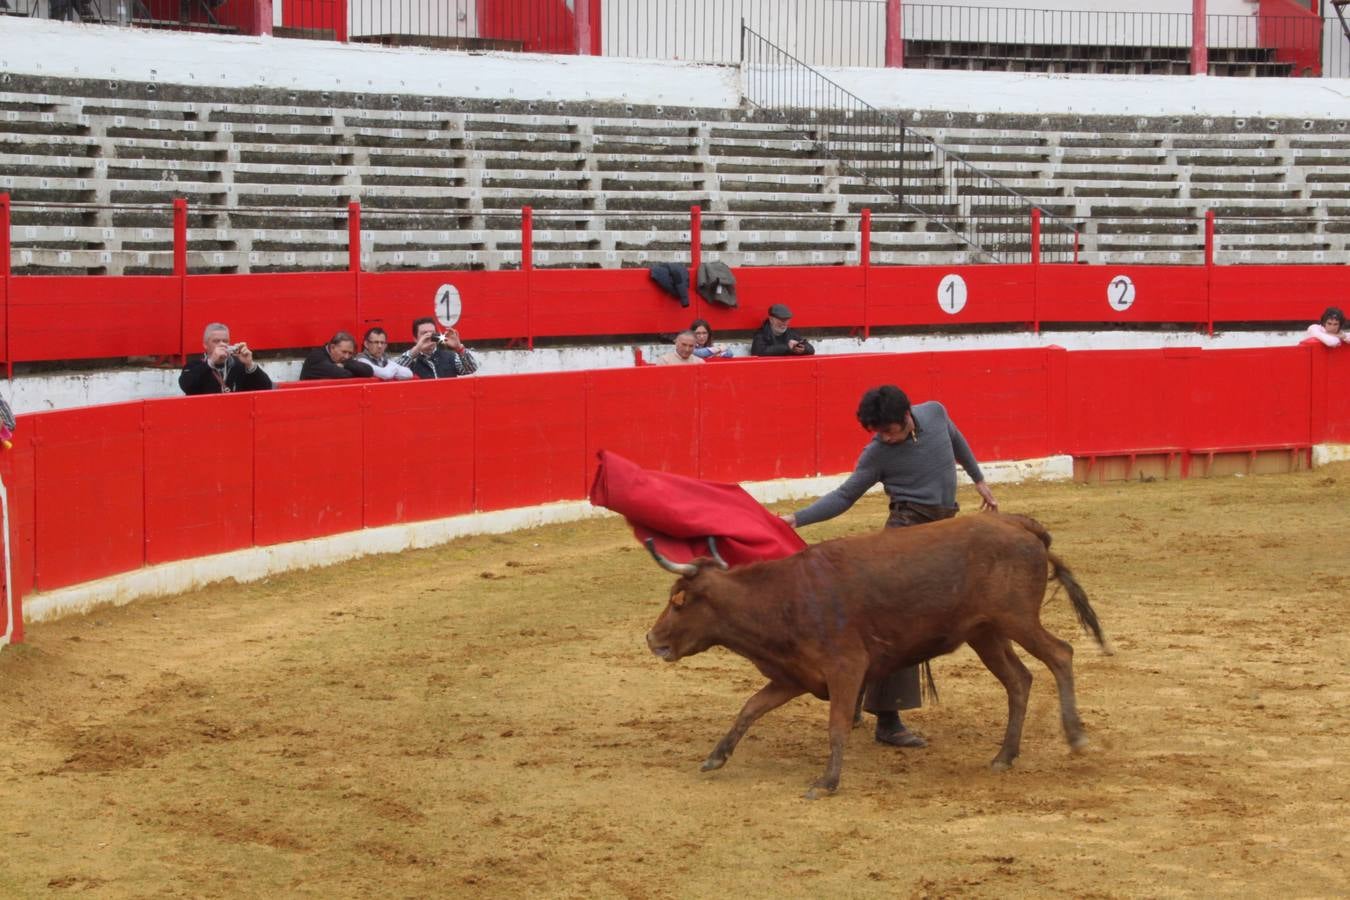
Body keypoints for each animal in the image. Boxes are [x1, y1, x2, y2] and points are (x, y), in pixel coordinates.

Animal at [648, 510, 1112, 798]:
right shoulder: (792, 677)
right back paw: (1004, 756)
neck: (783, 597)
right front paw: (715, 757)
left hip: (1017, 620)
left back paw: (1075, 735)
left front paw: (826, 783)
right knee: (1019, 679)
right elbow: (748, 709)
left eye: (678, 601)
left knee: (1061, 654)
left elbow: (836, 725)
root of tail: (1020, 524)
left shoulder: (846, 668)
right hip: (986, 634)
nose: (652, 639)